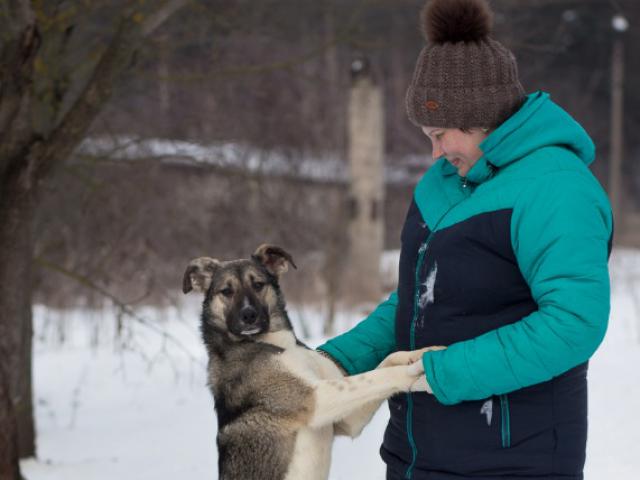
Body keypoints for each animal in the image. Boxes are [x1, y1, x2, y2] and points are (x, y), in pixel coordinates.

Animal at [182, 246, 432, 478]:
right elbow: (376, 377)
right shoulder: (316, 399)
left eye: (258, 284)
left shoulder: (349, 419)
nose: (248, 315)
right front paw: (422, 374)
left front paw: (426, 353)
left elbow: (390, 360)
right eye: (226, 291)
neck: (277, 344)